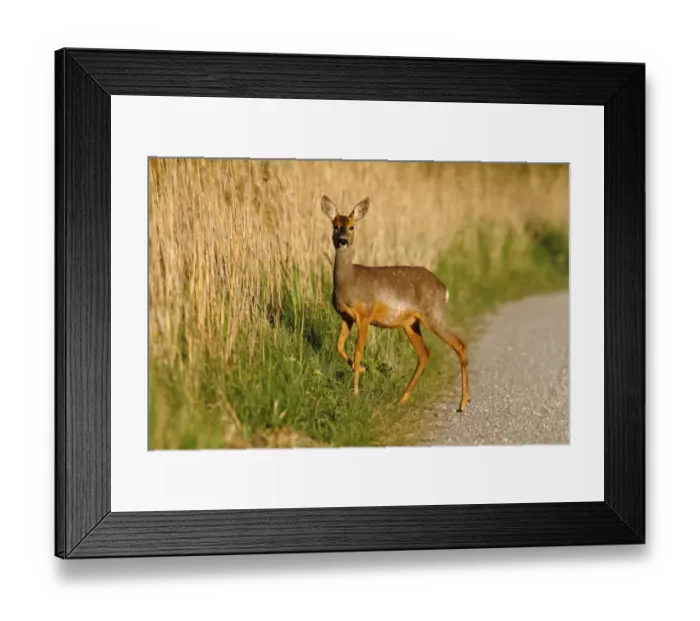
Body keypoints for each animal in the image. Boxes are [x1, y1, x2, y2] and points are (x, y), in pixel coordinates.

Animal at [321, 195, 470, 412]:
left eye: (351, 227)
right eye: (335, 225)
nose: (342, 240)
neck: (349, 281)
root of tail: (444, 289)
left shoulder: (365, 314)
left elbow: (358, 352)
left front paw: (356, 391)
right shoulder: (346, 316)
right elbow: (339, 346)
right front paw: (363, 369)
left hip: (433, 314)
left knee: (459, 344)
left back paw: (463, 403)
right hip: (410, 323)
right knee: (424, 353)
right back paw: (402, 399)